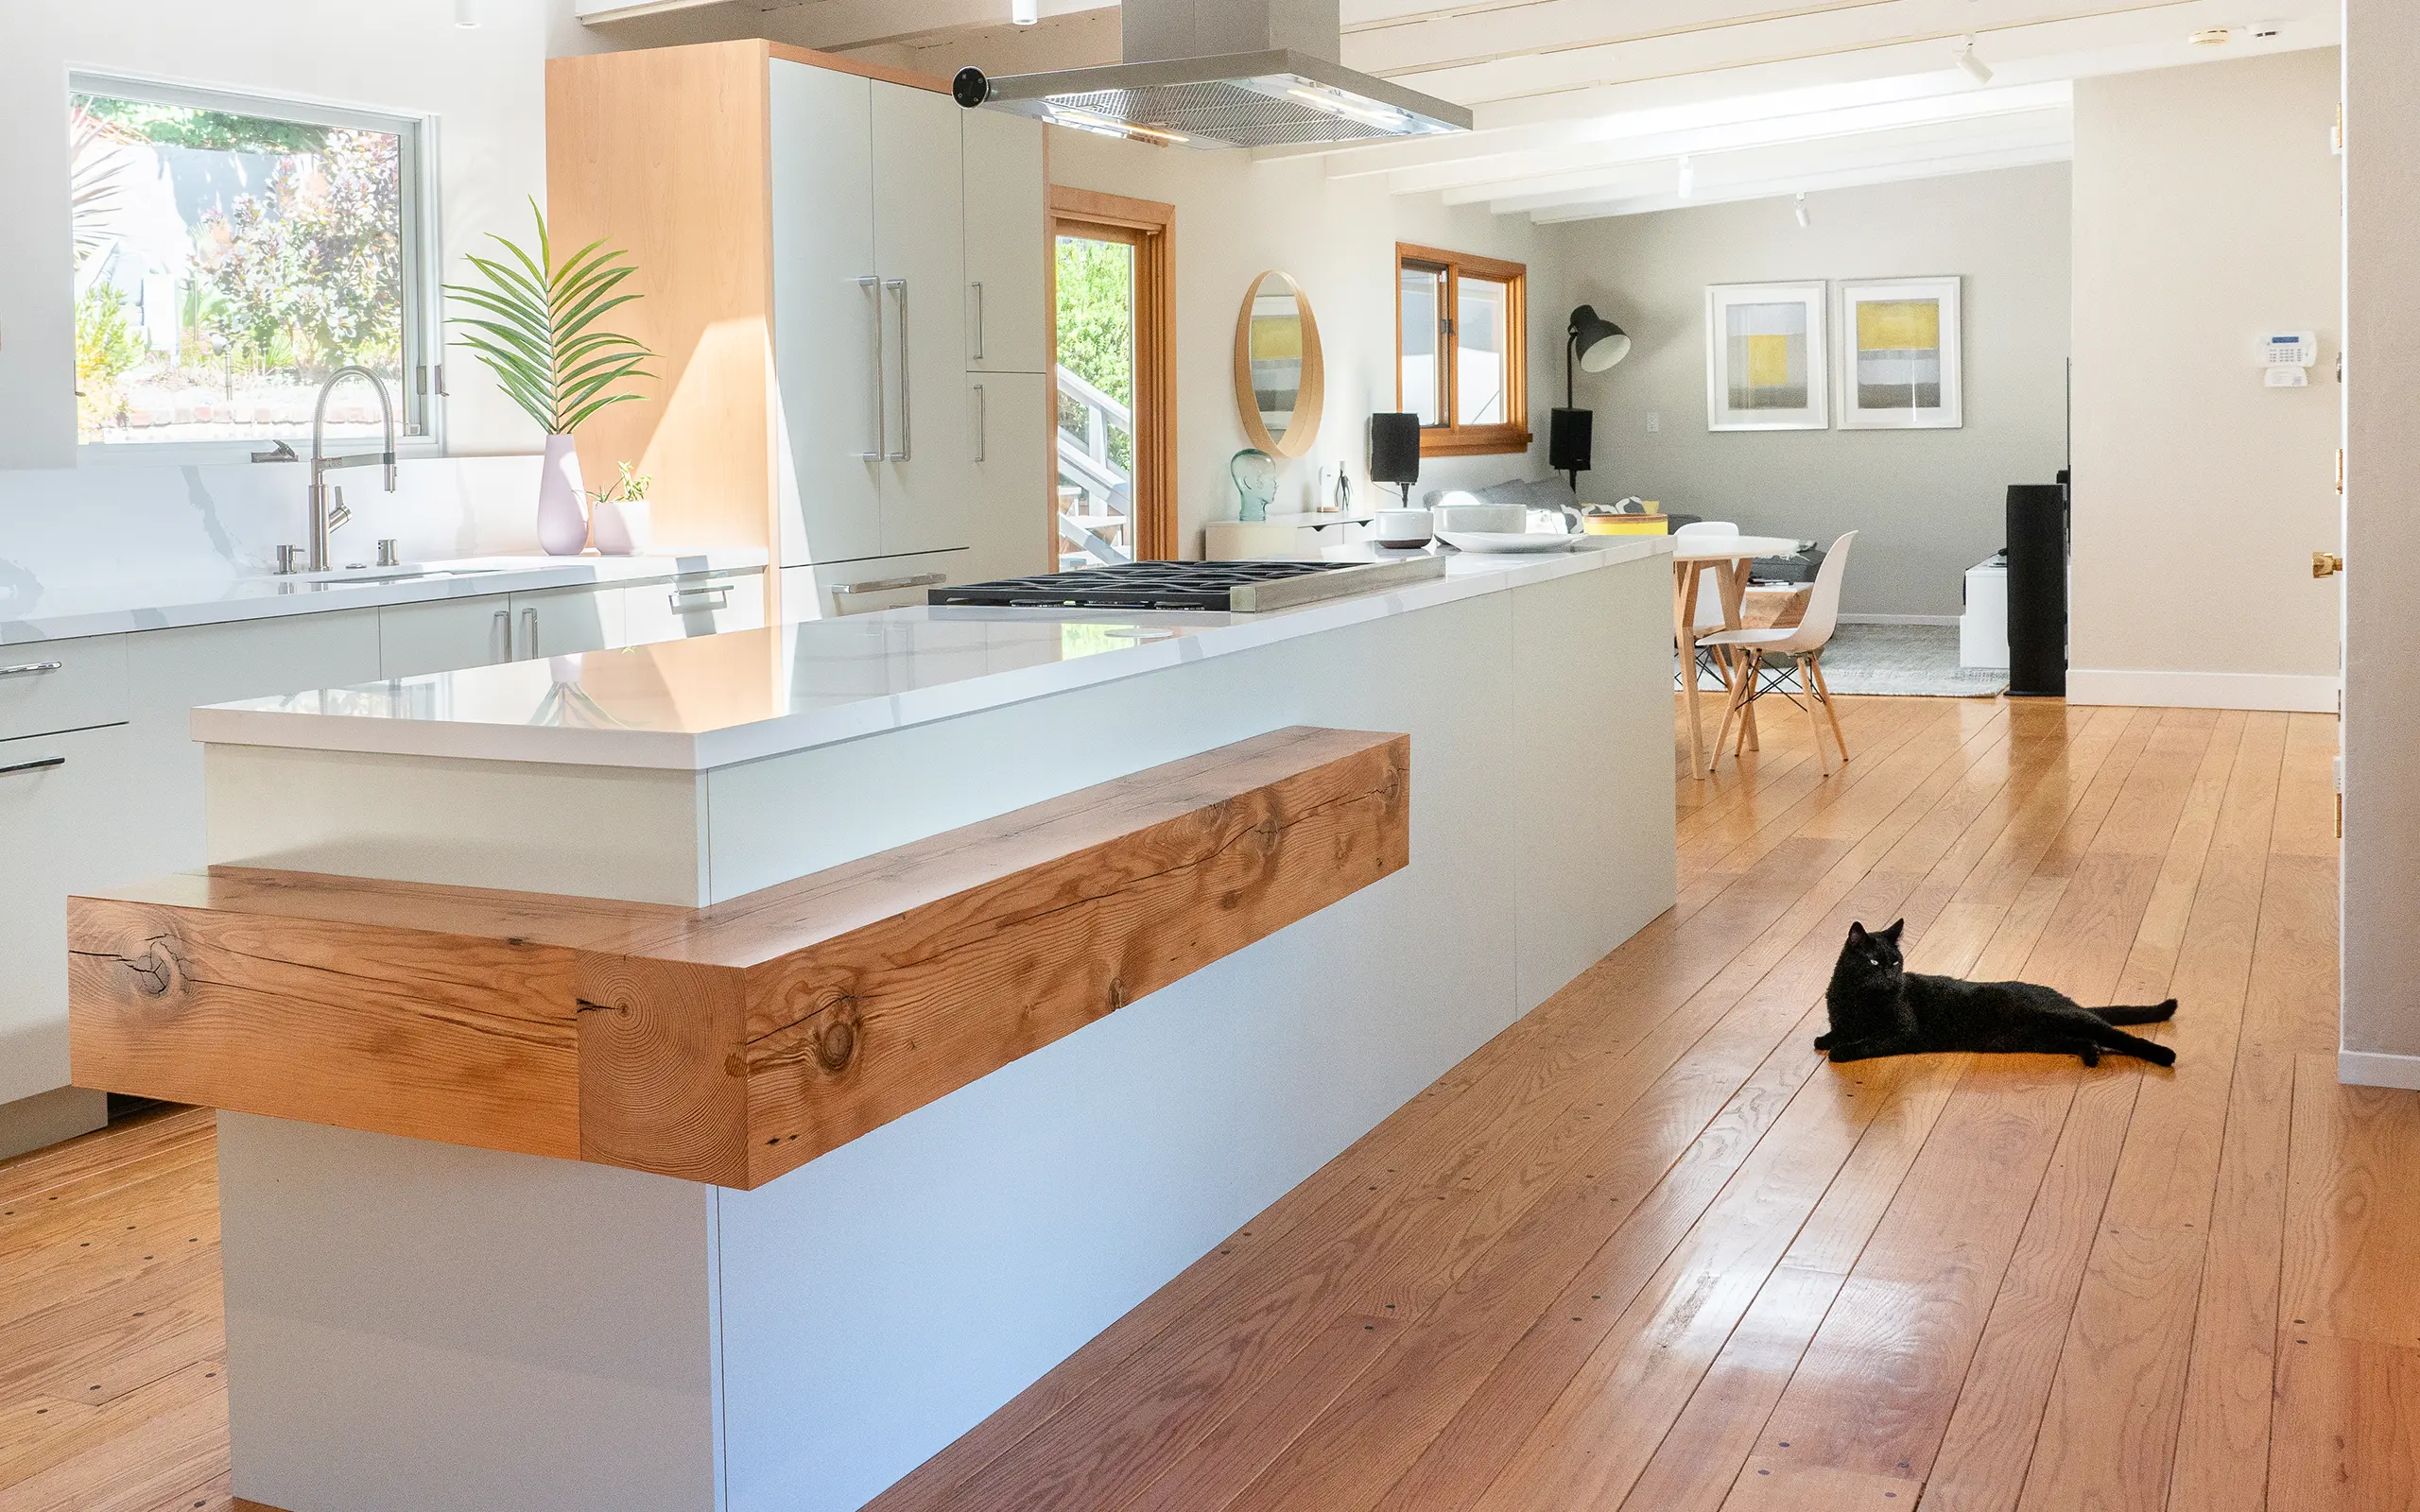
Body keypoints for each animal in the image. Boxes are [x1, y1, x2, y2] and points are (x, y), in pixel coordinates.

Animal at [1820, 914, 2178, 1069]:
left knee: (2117, 1035)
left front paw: (1841, 1050)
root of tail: (2065, 998)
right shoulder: (1843, 1019)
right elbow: (1835, 1032)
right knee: (2085, 1040)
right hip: (2039, 1038)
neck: (1856, 998)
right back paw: (2091, 1056)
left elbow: (1869, 1042)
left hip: (2063, 1020)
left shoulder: (1902, 1032)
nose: (1893, 976)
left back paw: (2164, 1055)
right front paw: (1826, 1039)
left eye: (1896, 961)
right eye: (1874, 961)